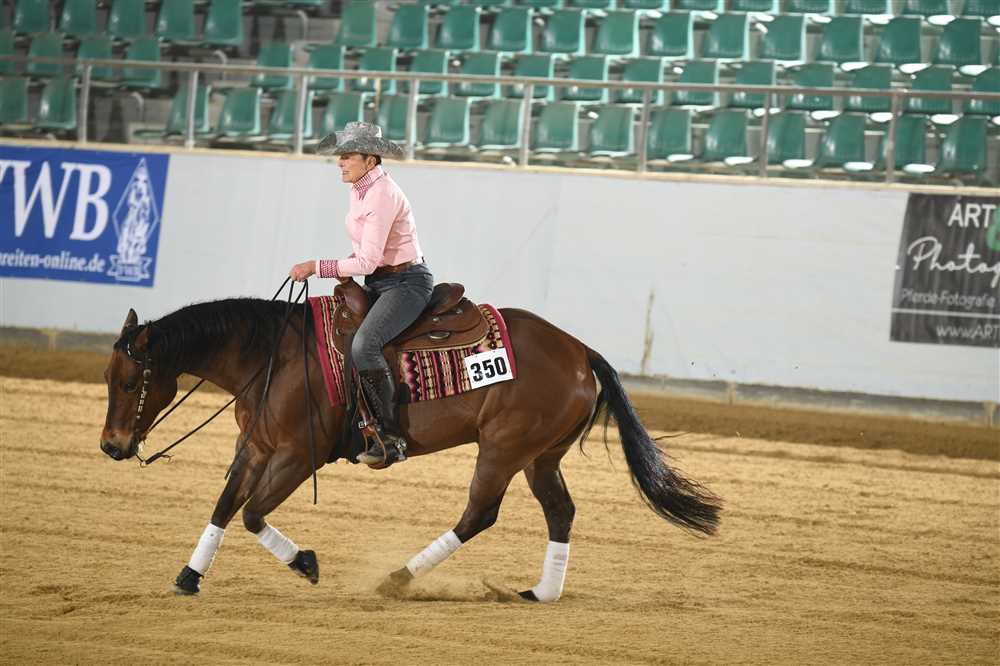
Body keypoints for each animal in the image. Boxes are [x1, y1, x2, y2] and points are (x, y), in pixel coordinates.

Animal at [100, 294, 721, 602]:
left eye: (130, 383)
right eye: (107, 379)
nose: (111, 446)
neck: (274, 356)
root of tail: (580, 350)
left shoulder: (297, 457)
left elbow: (252, 514)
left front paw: (305, 562)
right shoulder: (254, 447)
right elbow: (226, 506)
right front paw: (189, 576)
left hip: (502, 449)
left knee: (479, 514)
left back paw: (396, 579)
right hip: (540, 457)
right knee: (561, 512)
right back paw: (542, 592)